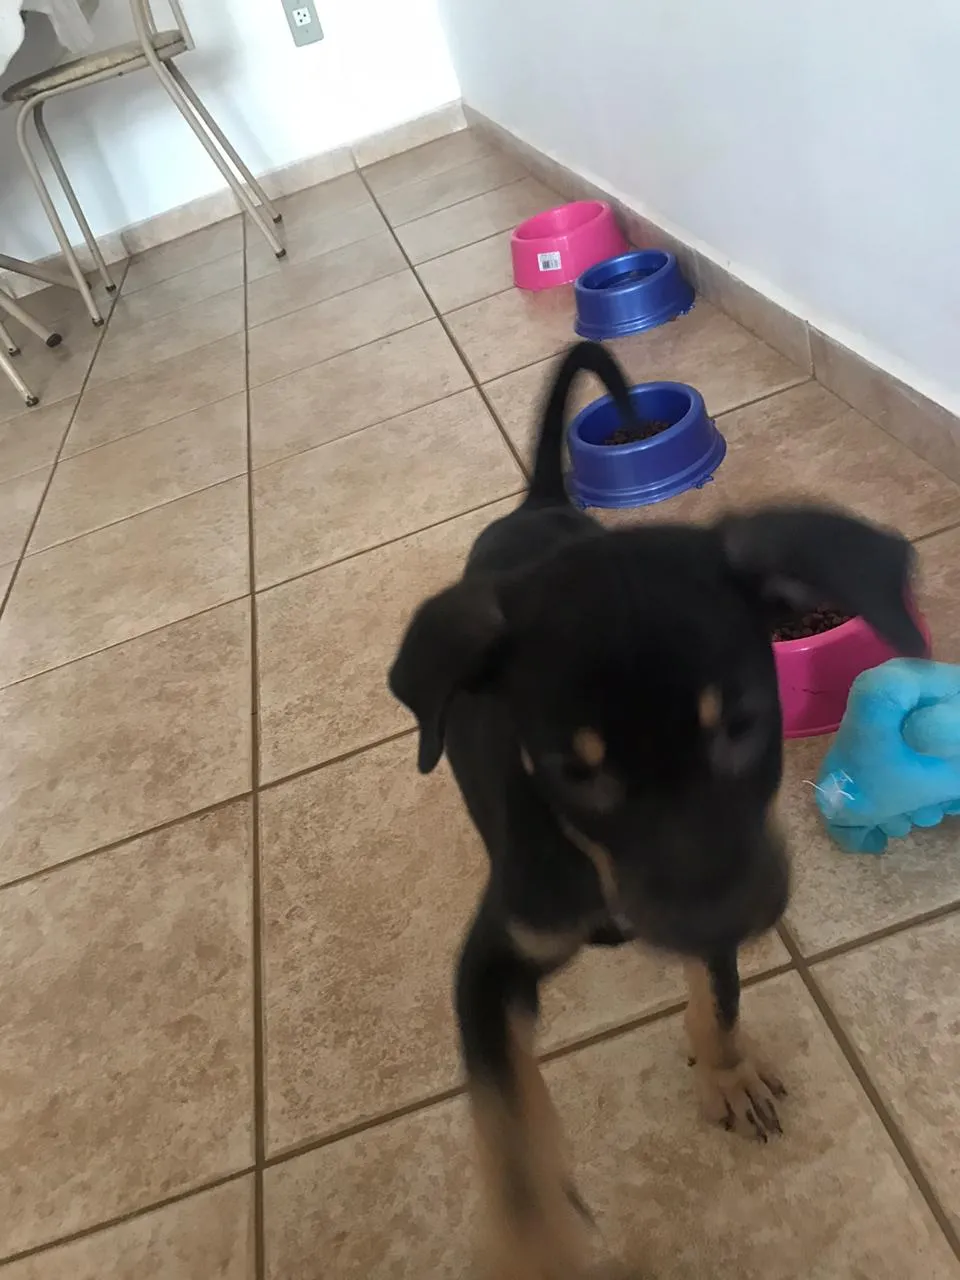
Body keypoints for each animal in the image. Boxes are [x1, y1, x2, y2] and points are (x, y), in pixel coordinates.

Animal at [388, 341, 925, 1277]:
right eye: (574, 770)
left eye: (743, 722)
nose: (727, 916)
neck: (592, 867)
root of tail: (540, 502)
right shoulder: (490, 963)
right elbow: (508, 1125)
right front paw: (537, 1245)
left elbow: (721, 996)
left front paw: (726, 1073)